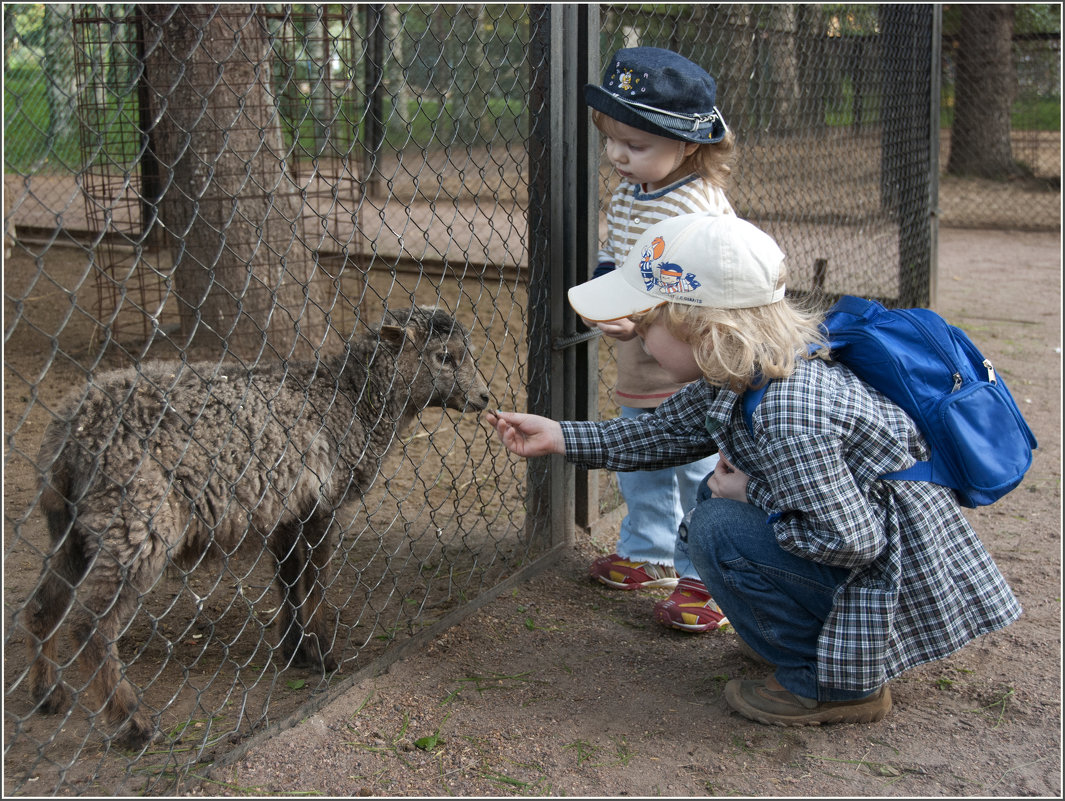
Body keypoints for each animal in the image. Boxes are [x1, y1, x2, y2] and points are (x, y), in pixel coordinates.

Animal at [22, 302, 489, 749]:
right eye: (445, 356)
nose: (485, 397)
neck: (350, 398)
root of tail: (69, 431)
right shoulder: (320, 505)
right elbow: (315, 581)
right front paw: (323, 655)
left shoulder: (284, 509)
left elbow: (287, 578)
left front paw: (294, 649)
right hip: (135, 523)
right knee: (89, 627)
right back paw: (132, 724)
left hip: (76, 529)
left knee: (44, 606)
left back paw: (48, 695)